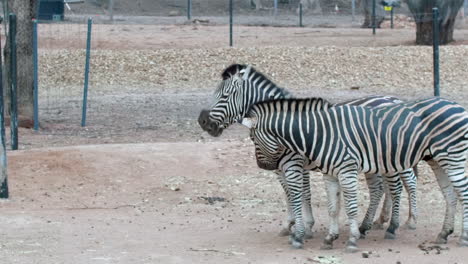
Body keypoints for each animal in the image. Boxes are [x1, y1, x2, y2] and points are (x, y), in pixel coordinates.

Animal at [197, 64, 416, 241]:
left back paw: (405, 222)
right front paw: (289, 224)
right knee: (383, 187)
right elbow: (288, 193)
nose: (203, 121)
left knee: (405, 183)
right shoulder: (280, 167)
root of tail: (393, 100)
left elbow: (303, 193)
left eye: (224, 96)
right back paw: (377, 222)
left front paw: (306, 227)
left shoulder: (296, 164)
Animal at [241, 96, 468, 252]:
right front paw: (330, 238)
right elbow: (333, 208)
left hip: (452, 158)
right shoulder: (330, 174)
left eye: (252, 138)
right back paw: (443, 234)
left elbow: (349, 207)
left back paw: (462, 237)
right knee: (450, 195)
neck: (318, 134)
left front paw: (351, 240)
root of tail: (458, 106)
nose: (264, 166)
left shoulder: (346, 169)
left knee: (462, 194)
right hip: (437, 160)